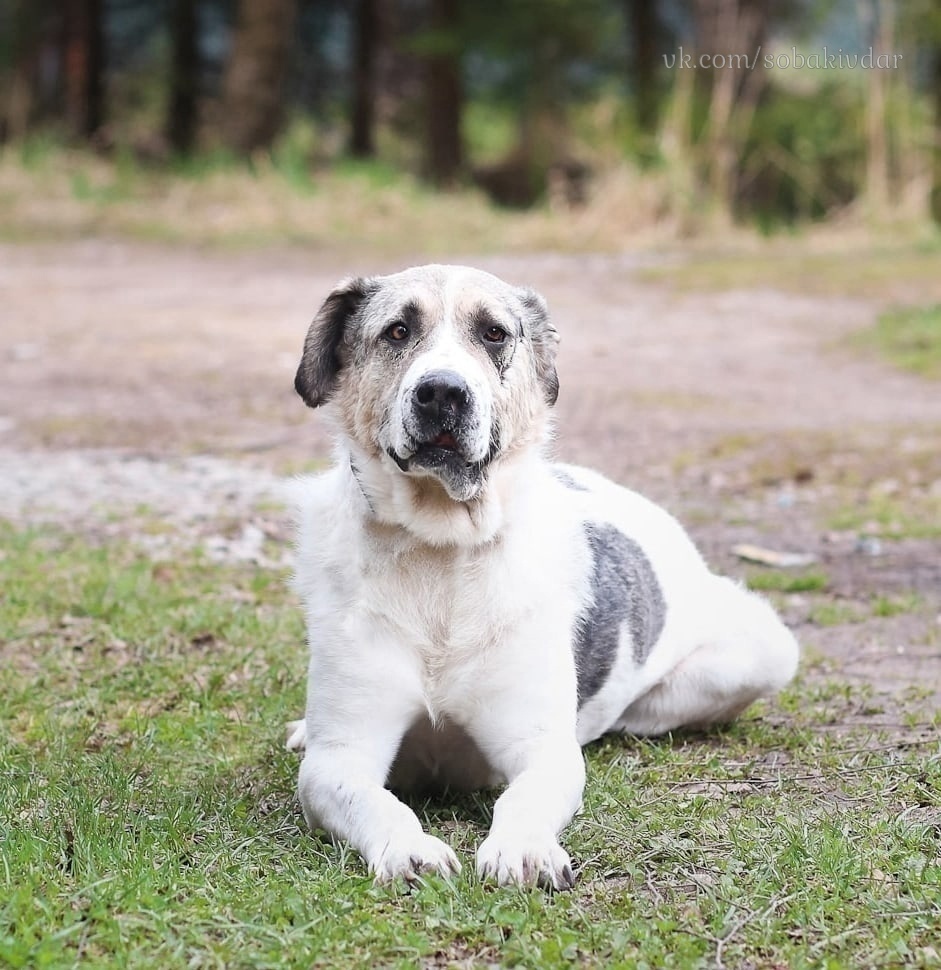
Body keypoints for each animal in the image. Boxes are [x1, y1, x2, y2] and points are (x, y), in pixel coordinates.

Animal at [288, 262, 800, 884]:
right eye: (397, 331)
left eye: (493, 333)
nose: (442, 392)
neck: (442, 550)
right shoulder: (340, 756)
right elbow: (372, 798)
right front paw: (406, 847)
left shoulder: (540, 747)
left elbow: (524, 797)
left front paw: (524, 848)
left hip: (762, 652)